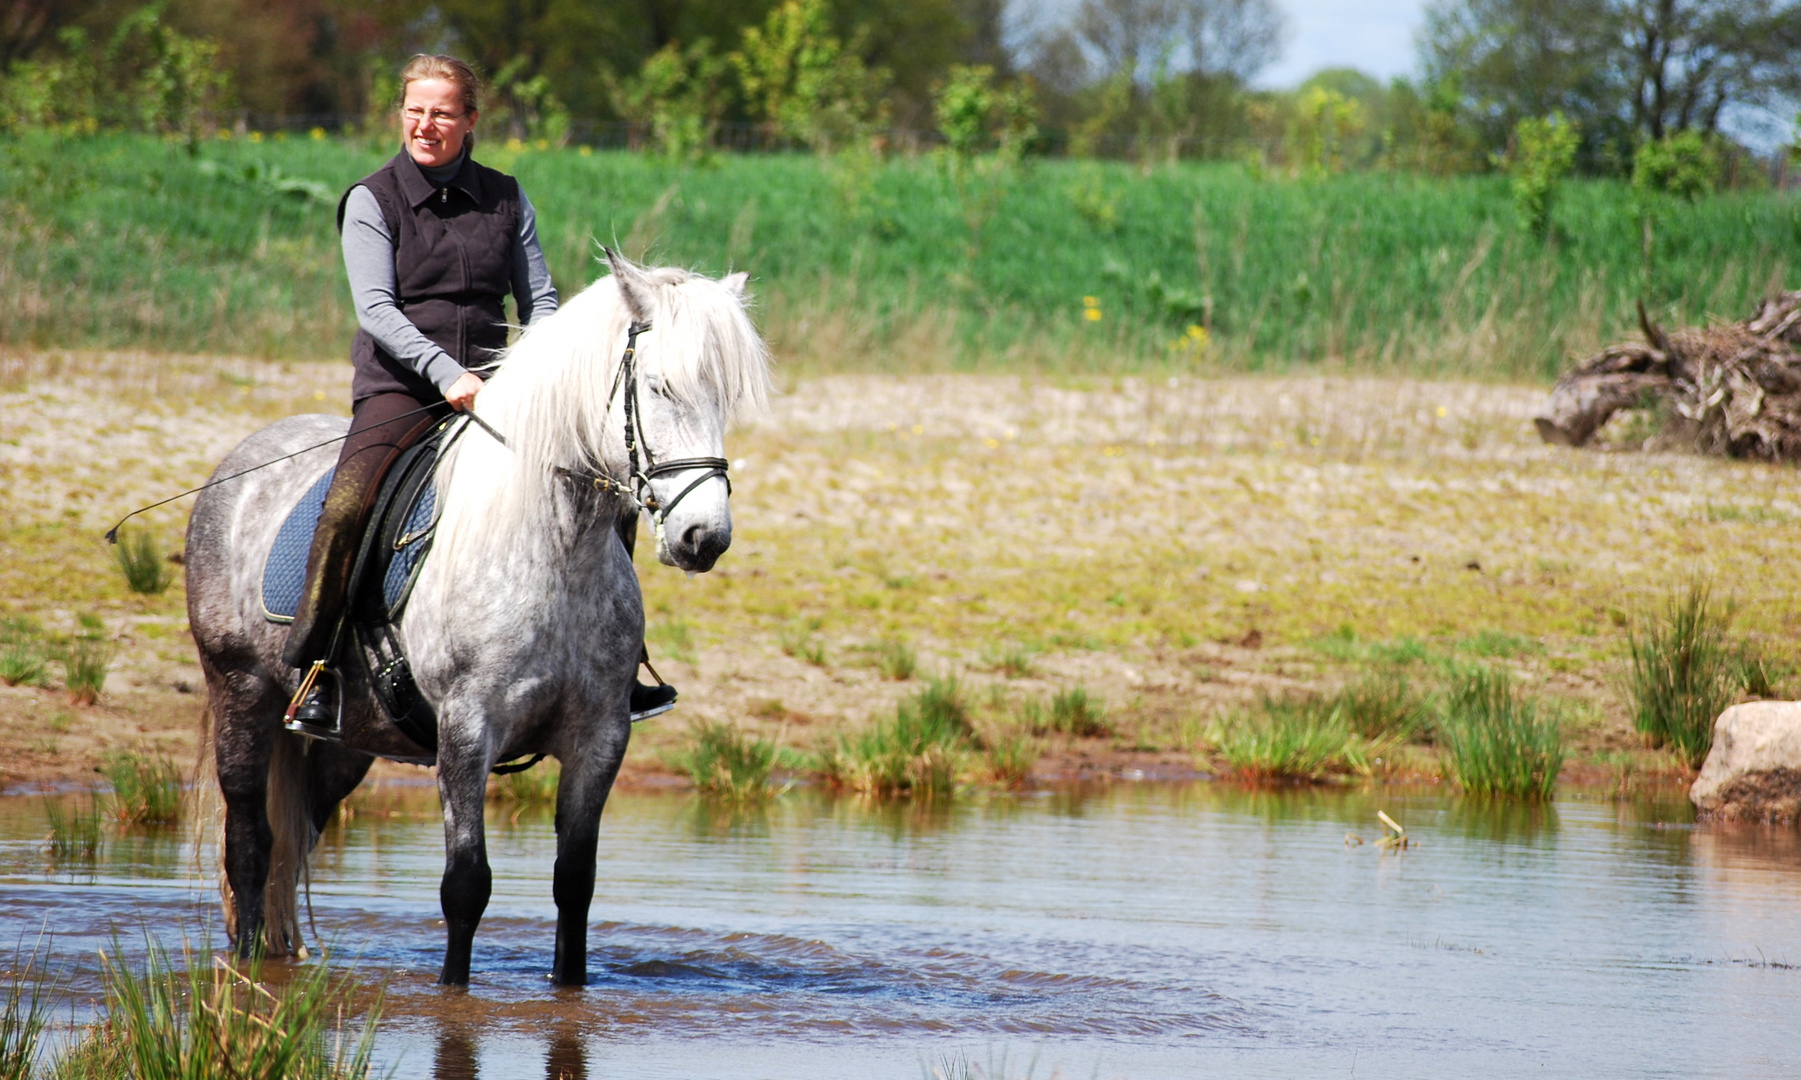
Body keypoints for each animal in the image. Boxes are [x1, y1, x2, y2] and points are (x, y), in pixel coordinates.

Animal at [186, 255, 770, 986]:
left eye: (723, 398)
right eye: (661, 387)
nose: (704, 538)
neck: (553, 549)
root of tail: (238, 462)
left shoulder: (600, 737)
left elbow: (575, 883)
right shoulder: (468, 730)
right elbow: (466, 884)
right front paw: (453, 995)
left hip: (344, 744)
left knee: (293, 845)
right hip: (240, 691)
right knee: (248, 842)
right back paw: (244, 971)